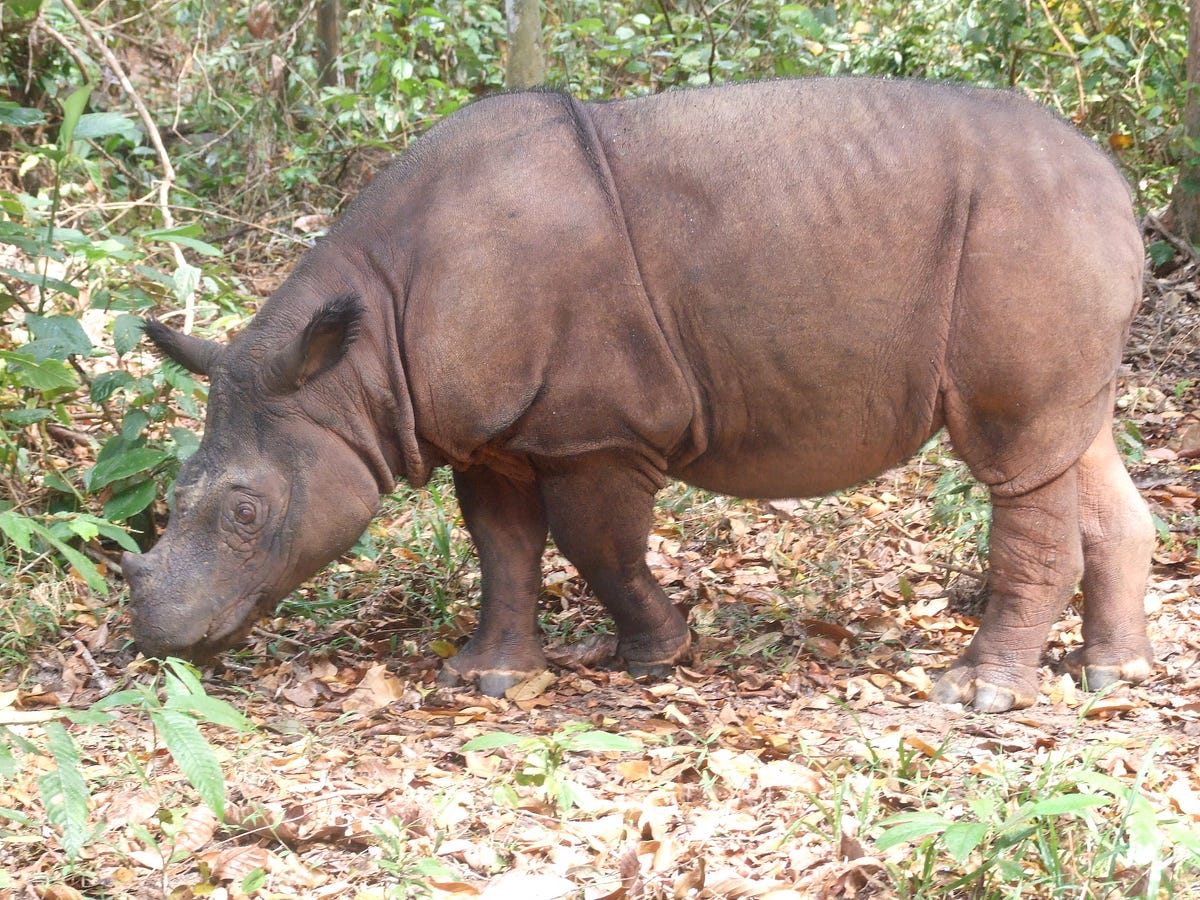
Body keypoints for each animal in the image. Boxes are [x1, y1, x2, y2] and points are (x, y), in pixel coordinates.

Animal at [121, 79, 1152, 710]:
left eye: (247, 513)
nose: (157, 637)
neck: (354, 366)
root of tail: (1119, 185)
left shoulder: (597, 430)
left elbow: (597, 544)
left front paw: (660, 655)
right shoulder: (493, 430)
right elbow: (503, 546)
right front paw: (488, 678)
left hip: (1026, 232)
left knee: (1015, 461)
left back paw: (979, 696)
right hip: (1057, 244)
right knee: (1076, 442)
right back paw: (1115, 674)